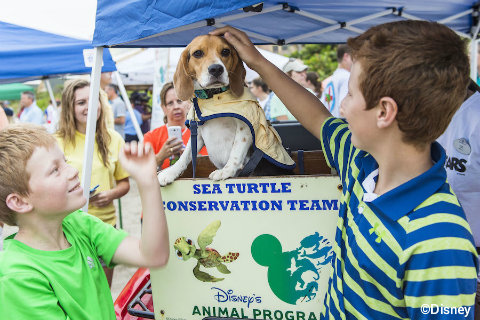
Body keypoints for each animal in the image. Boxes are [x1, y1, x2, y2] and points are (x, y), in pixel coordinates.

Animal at [158, 34, 294, 185]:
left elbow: (236, 151)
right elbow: (186, 155)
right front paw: (170, 172)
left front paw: (226, 171)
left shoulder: (245, 127)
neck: (213, 97)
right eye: (197, 53)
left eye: (225, 51)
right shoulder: (197, 133)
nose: (216, 69)